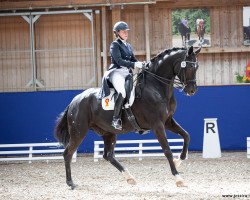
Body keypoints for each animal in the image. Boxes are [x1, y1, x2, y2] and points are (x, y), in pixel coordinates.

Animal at [54, 45, 201, 189]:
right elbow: (167, 150)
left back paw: (130, 178)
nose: (192, 90)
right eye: (188, 66)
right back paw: (71, 183)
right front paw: (178, 178)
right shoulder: (157, 125)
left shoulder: (168, 121)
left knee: (108, 155)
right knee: (68, 153)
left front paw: (178, 161)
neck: (156, 87)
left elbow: (186, 136)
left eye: (197, 67)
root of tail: (75, 101)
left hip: (108, 132)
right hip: (79, 132)